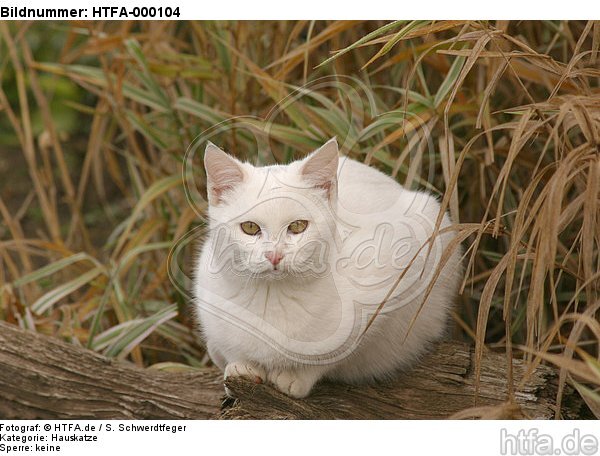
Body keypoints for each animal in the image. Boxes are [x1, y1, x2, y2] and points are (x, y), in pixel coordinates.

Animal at [193, 137, 464, 398]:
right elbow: (225, 349)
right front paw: (241, 367)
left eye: (298, 226)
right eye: (250, 227)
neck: (274, 297)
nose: (275, 255)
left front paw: (295, 377)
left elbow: (335, 352)